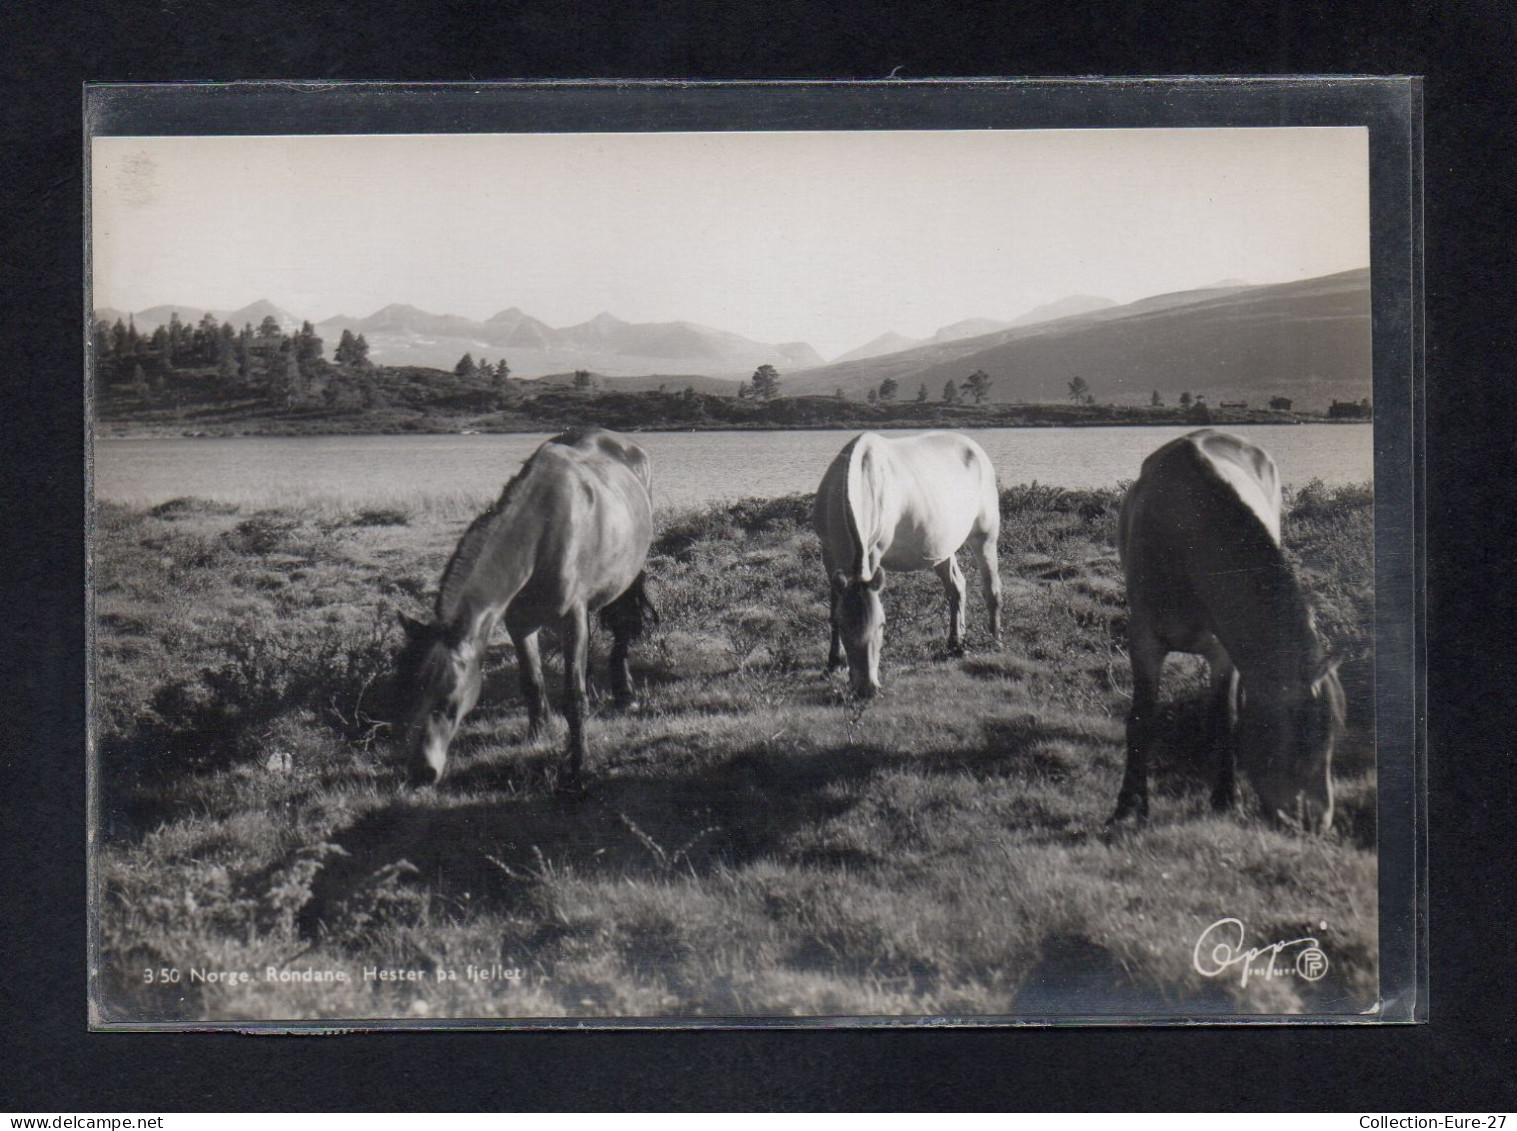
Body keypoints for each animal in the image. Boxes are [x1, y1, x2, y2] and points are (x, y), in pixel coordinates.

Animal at [394, 424, 655, 782]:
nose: (420, 771)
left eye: (447, 700)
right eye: (405, 693)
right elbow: (532, 683)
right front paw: (539, 734)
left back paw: (625, 694)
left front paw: (579, 764)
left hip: (628, 578)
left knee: (623, 626)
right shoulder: (519, 624)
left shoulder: (571, 618)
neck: (543, 533)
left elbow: (573, 697)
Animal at [813, 430, 1001, 697]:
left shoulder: (873, 554)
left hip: (985, 536)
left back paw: (995, 640)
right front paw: (833, 663)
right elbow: (833, 607)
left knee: (991, 587)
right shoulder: (828, 554)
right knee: (956, 587)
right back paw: (956, 643)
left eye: (882, 625)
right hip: (942, 549)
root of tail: (974, 447)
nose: (867, 688)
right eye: (844, 624)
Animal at [1110, 427, 1347, 830]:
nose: (1316, 822)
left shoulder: (1224, 651)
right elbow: (1141, 719)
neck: (1185, 544)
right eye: (1297, 737)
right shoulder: (1144, 641)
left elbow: (1224, 718)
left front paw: (1225, 798)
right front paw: (1128, 807)